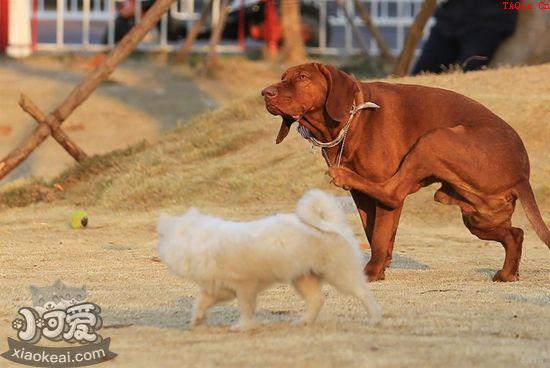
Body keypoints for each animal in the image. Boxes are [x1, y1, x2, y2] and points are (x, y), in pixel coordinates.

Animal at [157, 190, 382, 330]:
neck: (200, 241)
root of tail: (331, 224)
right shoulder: (220, 288)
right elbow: (201, 301)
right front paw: (196, 319)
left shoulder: (245, 286)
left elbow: (246, 308)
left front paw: (242, 326)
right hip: (302, 278)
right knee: (317, 300)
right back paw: (304, 321)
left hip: (339, 275)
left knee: (363, 293)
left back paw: (375, 318)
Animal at [260, 62, 548, 282]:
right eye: (283, 77)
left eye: (302, 77)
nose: (265, 92)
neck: (351, 119)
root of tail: (522, 175)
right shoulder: (361, 197)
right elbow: (373, 230)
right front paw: (381, 264)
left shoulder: (378, 188)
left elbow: (380, 229)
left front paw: (373, 271)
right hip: (477, 216)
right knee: (516, 233)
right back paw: (508, 274)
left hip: (435, 139)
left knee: (394, 192)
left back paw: (342, 175)